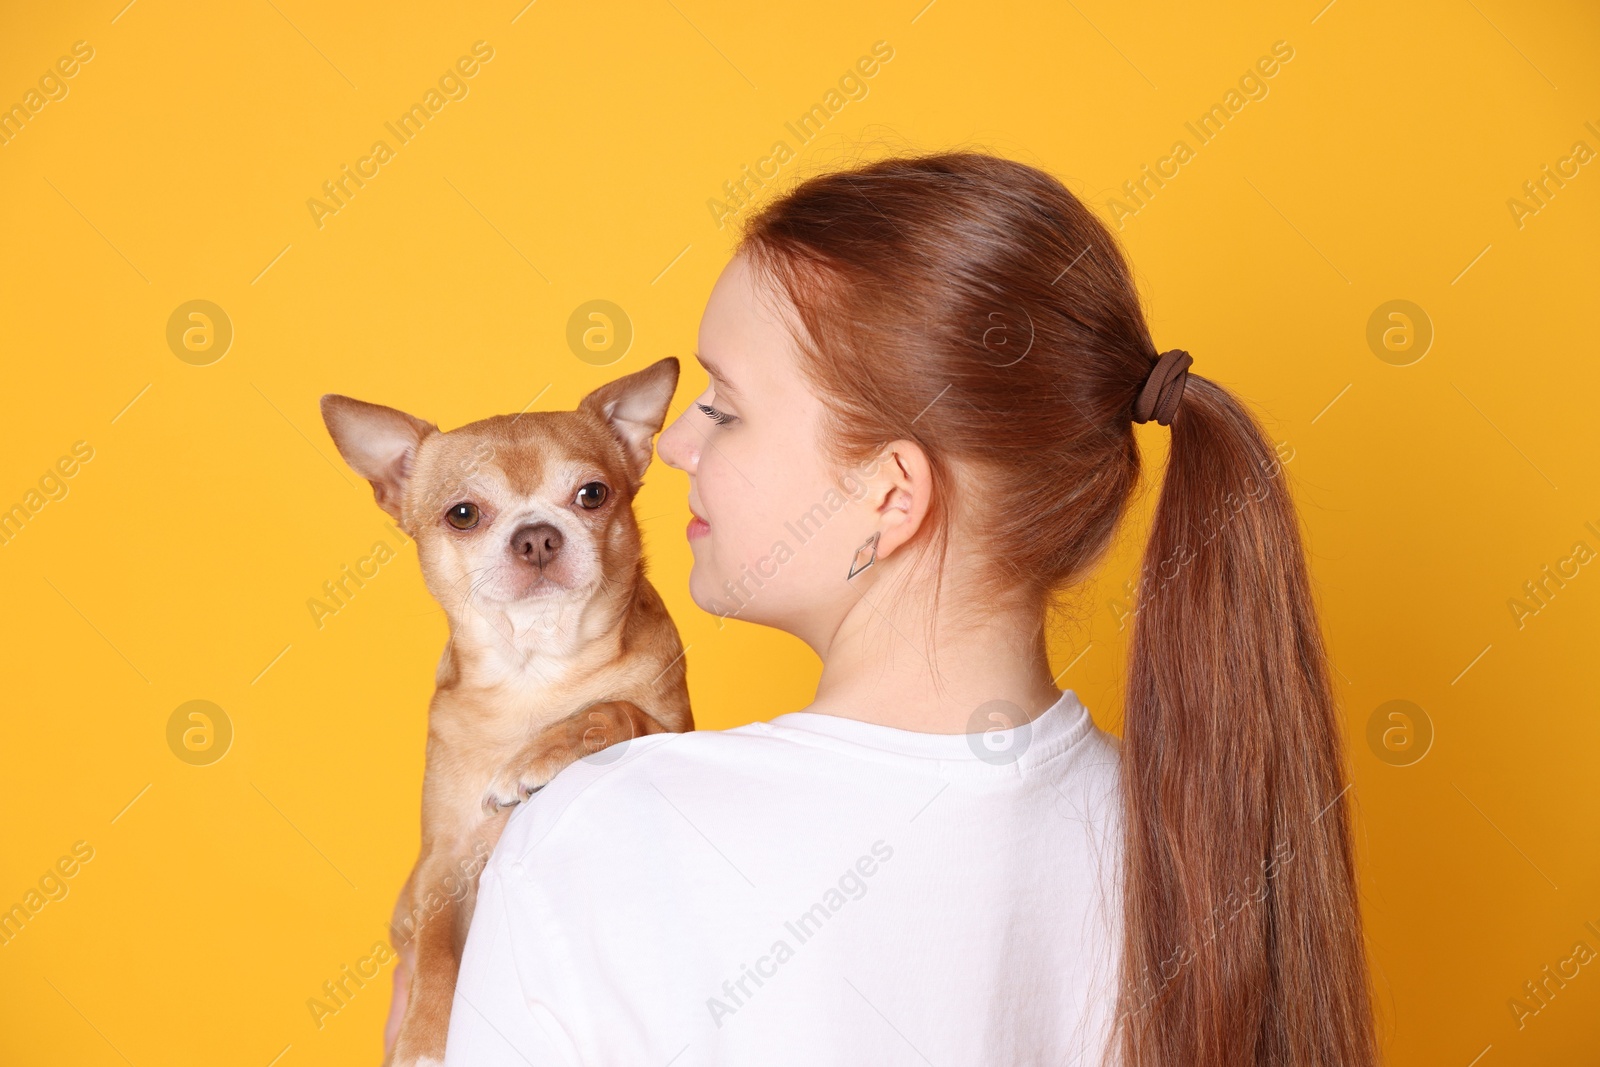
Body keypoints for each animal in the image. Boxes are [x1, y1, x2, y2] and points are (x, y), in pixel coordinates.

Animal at [321, 361, 697, 1067]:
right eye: (463, 514)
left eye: (592, 494)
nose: (536, 535)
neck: (536, 672)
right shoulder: (439, 863)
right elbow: (436, 949)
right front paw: (424, 1036)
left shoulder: (674, 729)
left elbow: (615, 708)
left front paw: (539, 754)